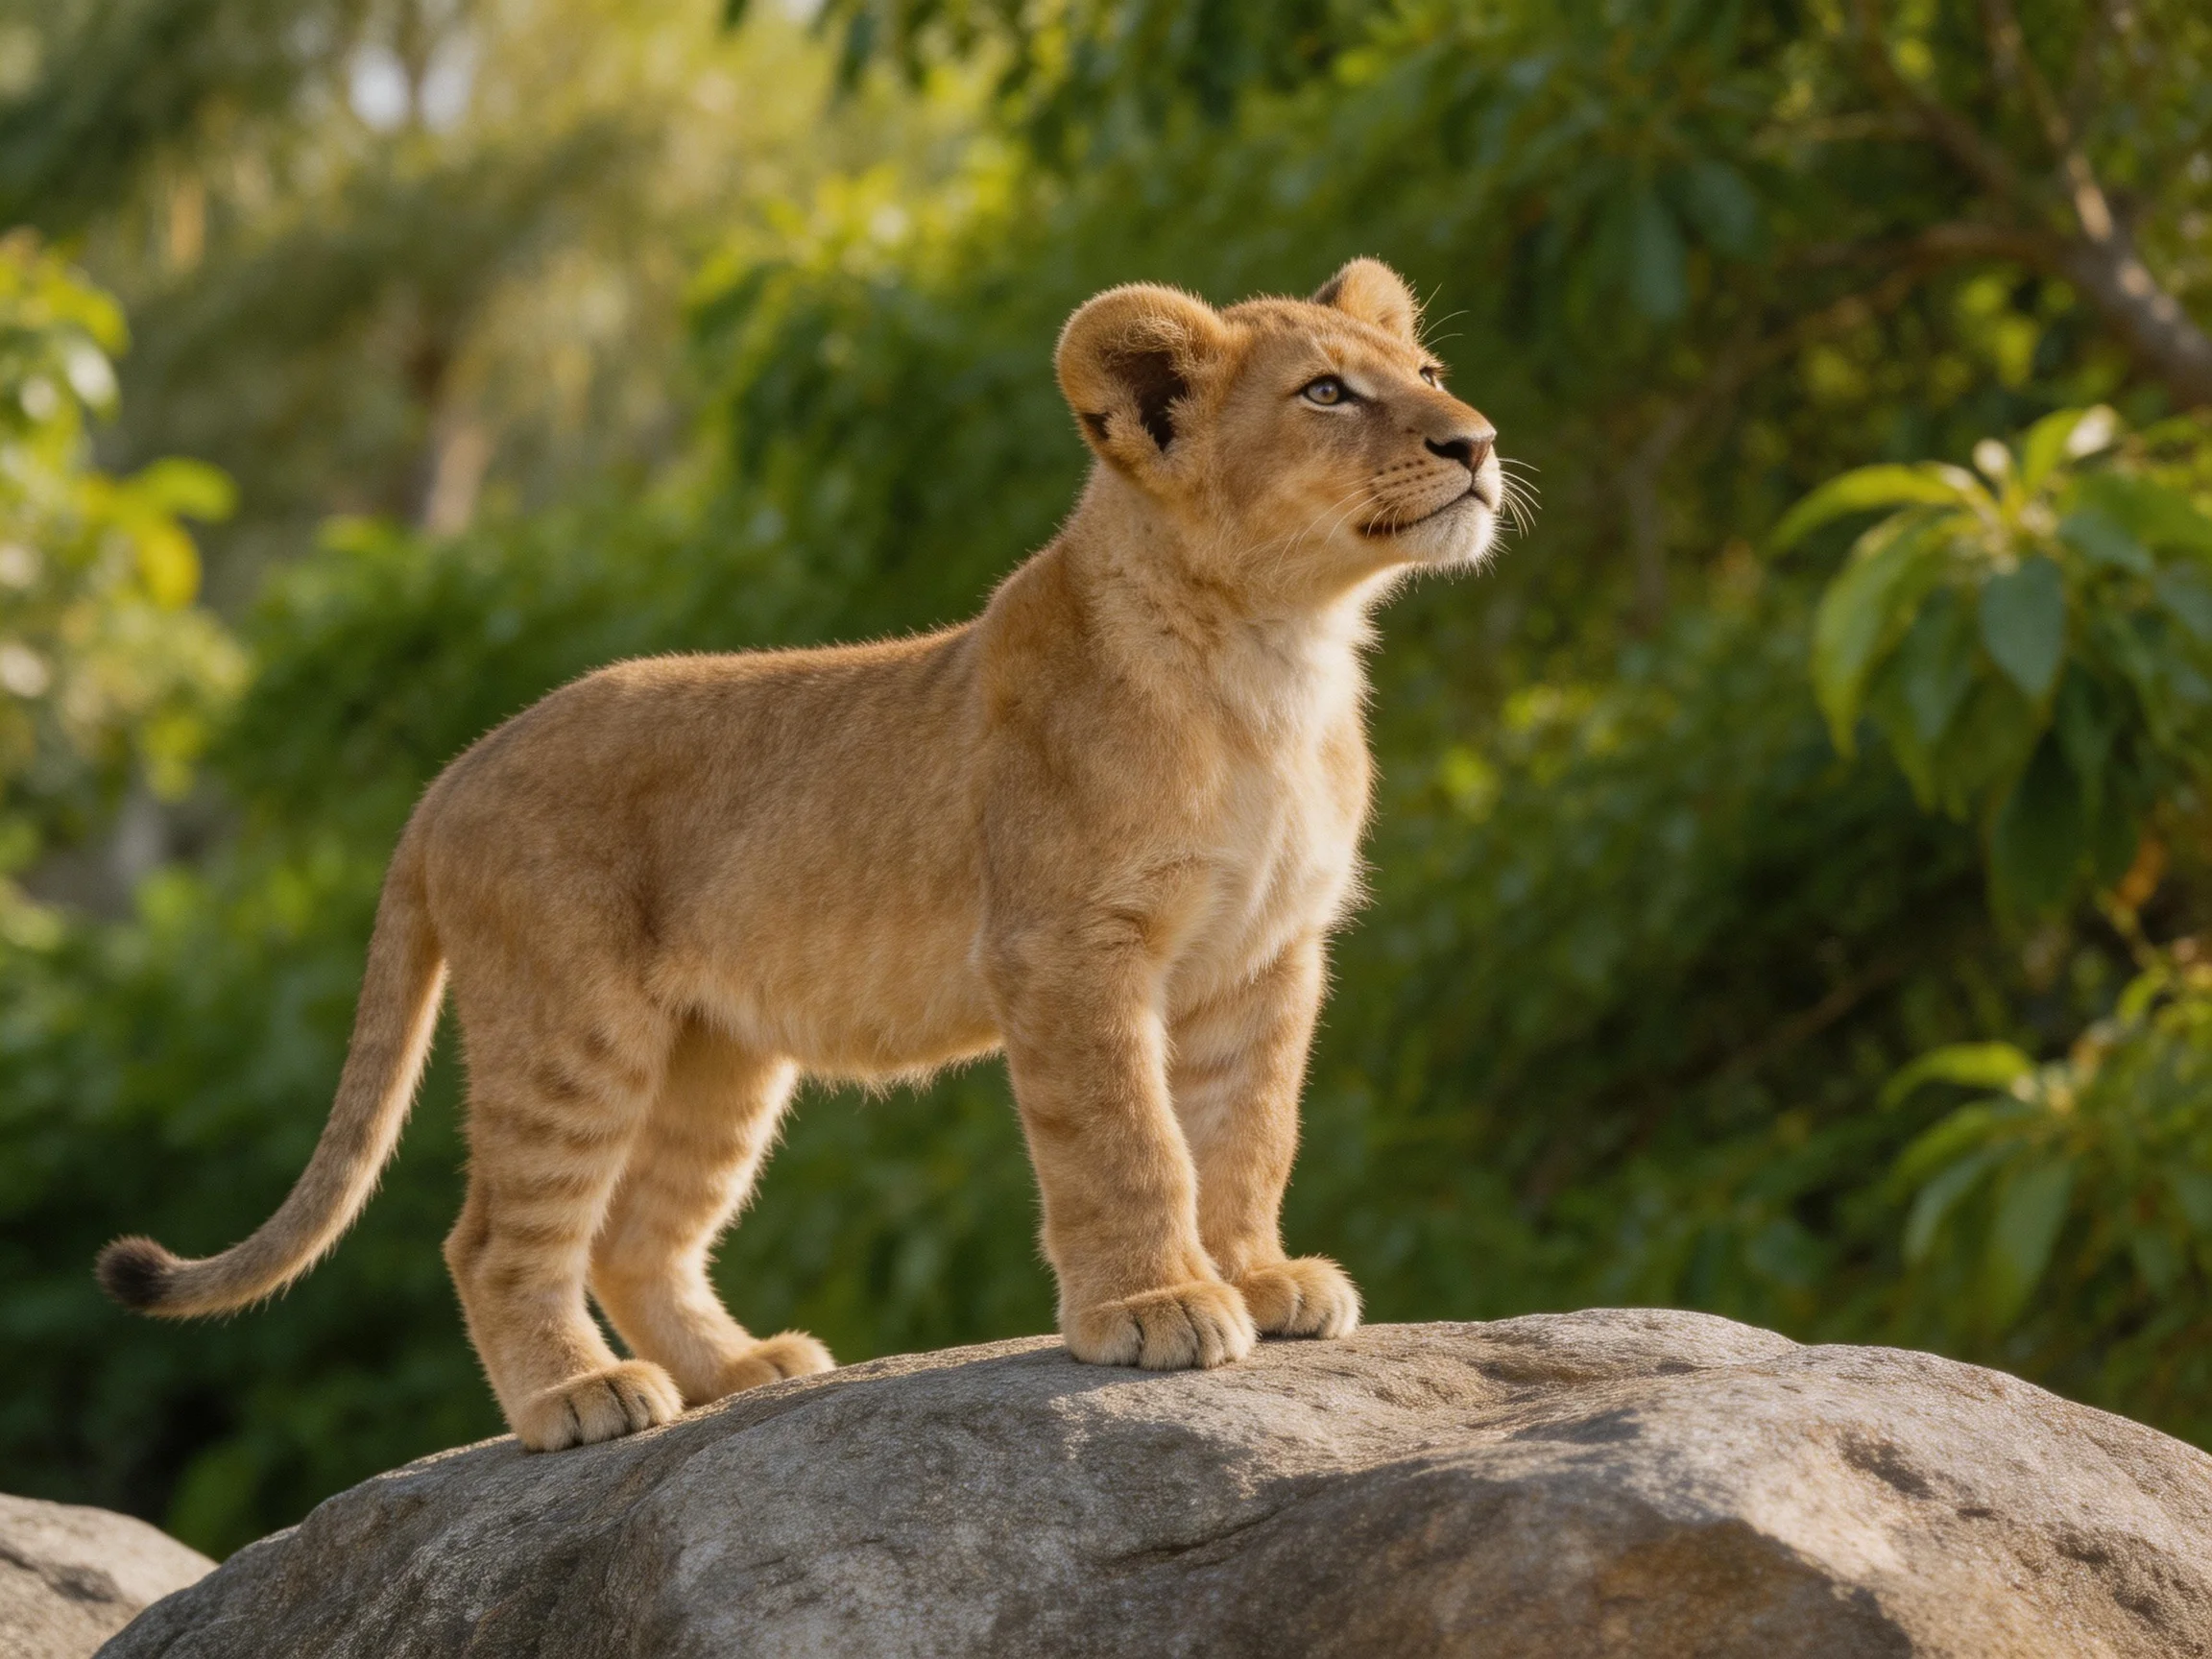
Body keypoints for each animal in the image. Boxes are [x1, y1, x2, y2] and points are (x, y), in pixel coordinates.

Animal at [97, 258, 1508, 1452]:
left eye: (1427, 370)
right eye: (1325, 394)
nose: (1478, 444)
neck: (1273, 662)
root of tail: (450, 776)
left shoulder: (1268, 952)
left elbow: (1249, 1128)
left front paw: (1262, 1278)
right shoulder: (1067, 946)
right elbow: (1126, 1135)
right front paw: (1155, 1306)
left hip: (713, 1054)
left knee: (634, 1232)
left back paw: (738, 1371)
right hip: (571, 1026)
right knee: (495, 1236)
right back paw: (579, 1399)